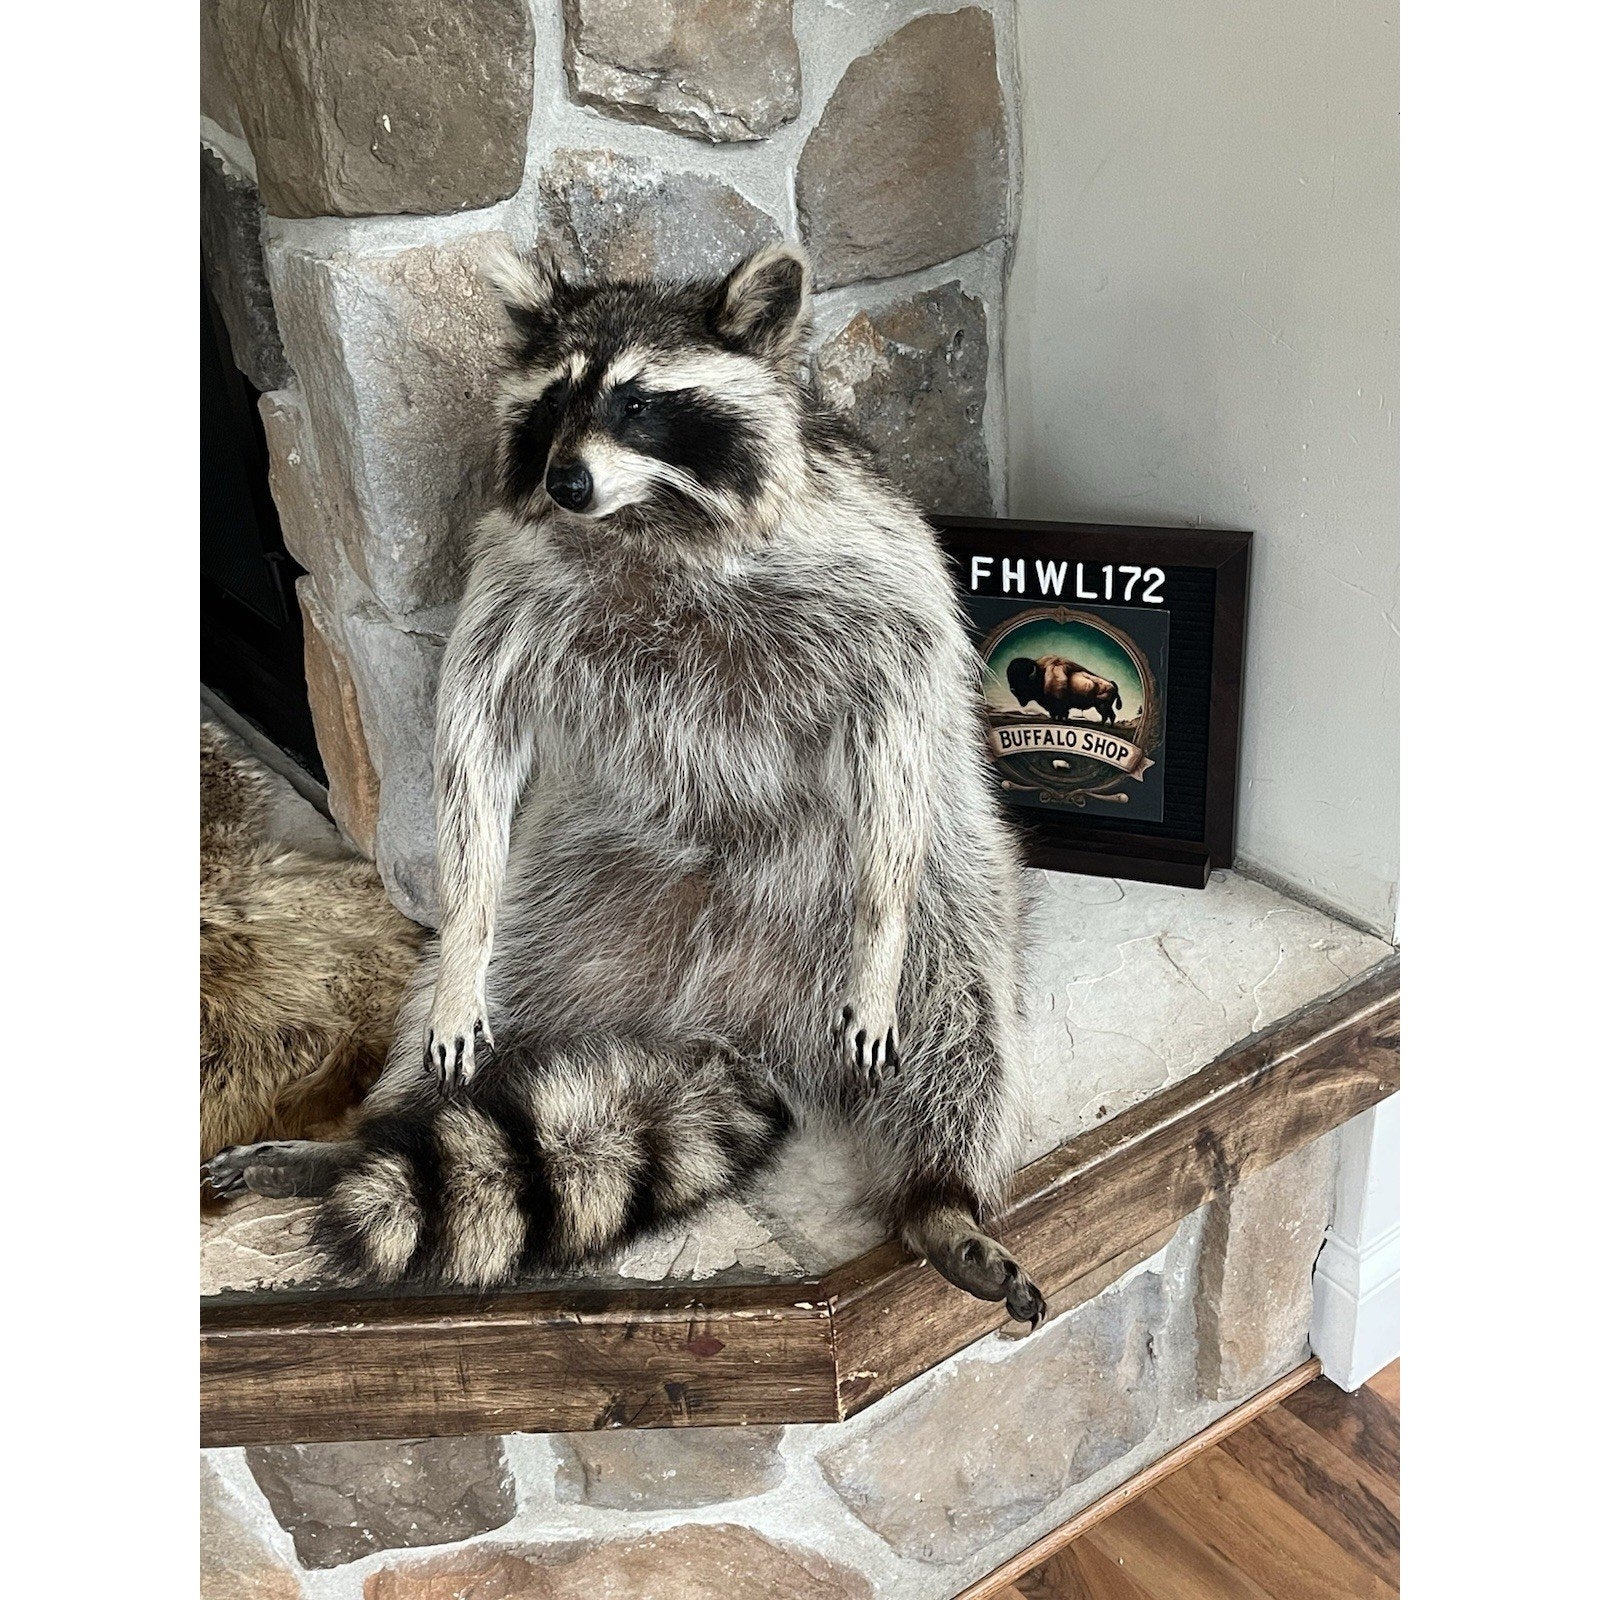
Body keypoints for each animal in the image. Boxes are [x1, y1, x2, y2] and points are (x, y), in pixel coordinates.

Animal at [206, 244, 1045, 1323]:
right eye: (555, 399)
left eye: (639, 402)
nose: (565, 480)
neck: (650, 517)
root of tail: (728, 1024)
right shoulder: (514, 588)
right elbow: (474, 740)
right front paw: (462, 920)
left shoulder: (866, 569)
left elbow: (894, 717)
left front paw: (881, 943)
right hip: (569, 904)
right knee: (477, 1011)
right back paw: (355, 1142)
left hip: (944, 895)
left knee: (962, 1028)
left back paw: (940, 1195)